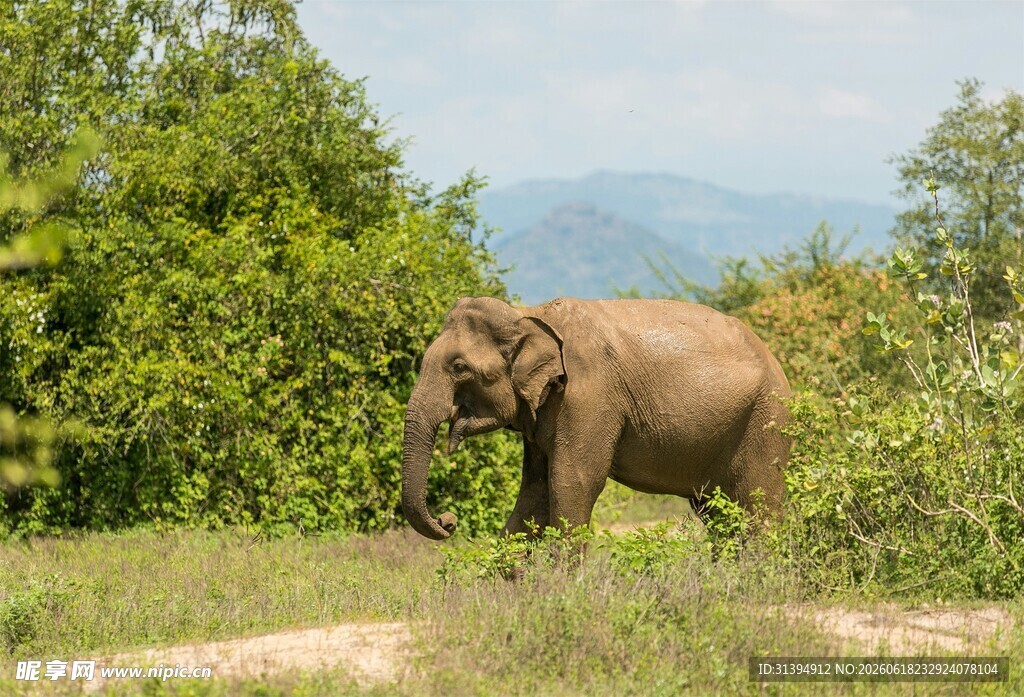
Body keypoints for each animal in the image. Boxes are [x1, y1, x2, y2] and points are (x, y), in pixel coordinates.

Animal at [401, 296, 792, 541]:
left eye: (459, 368)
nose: (448, 521)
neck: (527, 314)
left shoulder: (588, 396)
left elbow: (572, 483)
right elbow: (534, 491)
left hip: (766, 421)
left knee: (758, 504)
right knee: (717, 511)